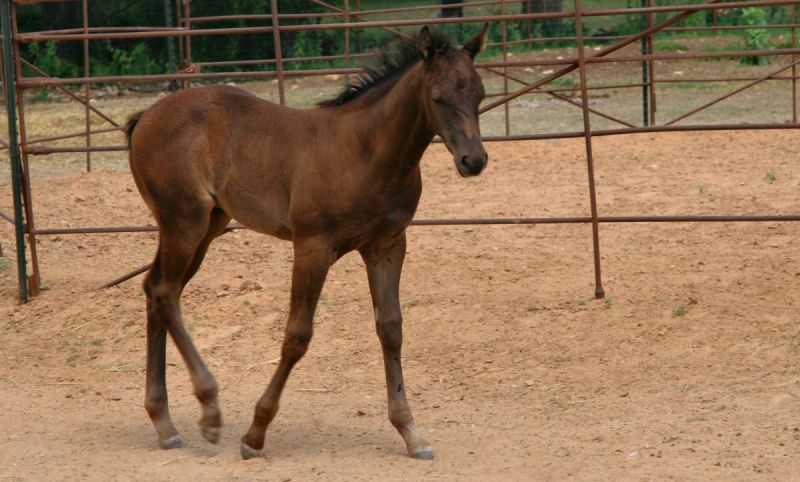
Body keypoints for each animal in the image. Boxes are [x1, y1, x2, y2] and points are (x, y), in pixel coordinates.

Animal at [126, 25, 489, 460]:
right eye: (438, 97)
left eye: (480, 94)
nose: (474, 161)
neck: (365, 151)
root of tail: (145, 116)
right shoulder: (313, 247)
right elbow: (298, 335)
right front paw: (255, 434)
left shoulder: (387, 245)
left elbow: (391, 327)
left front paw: (410, 432)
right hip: (184, 223)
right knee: (165, 292)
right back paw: (209, 412)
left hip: (206, 225)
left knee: (156, 290)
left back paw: (164, 424)